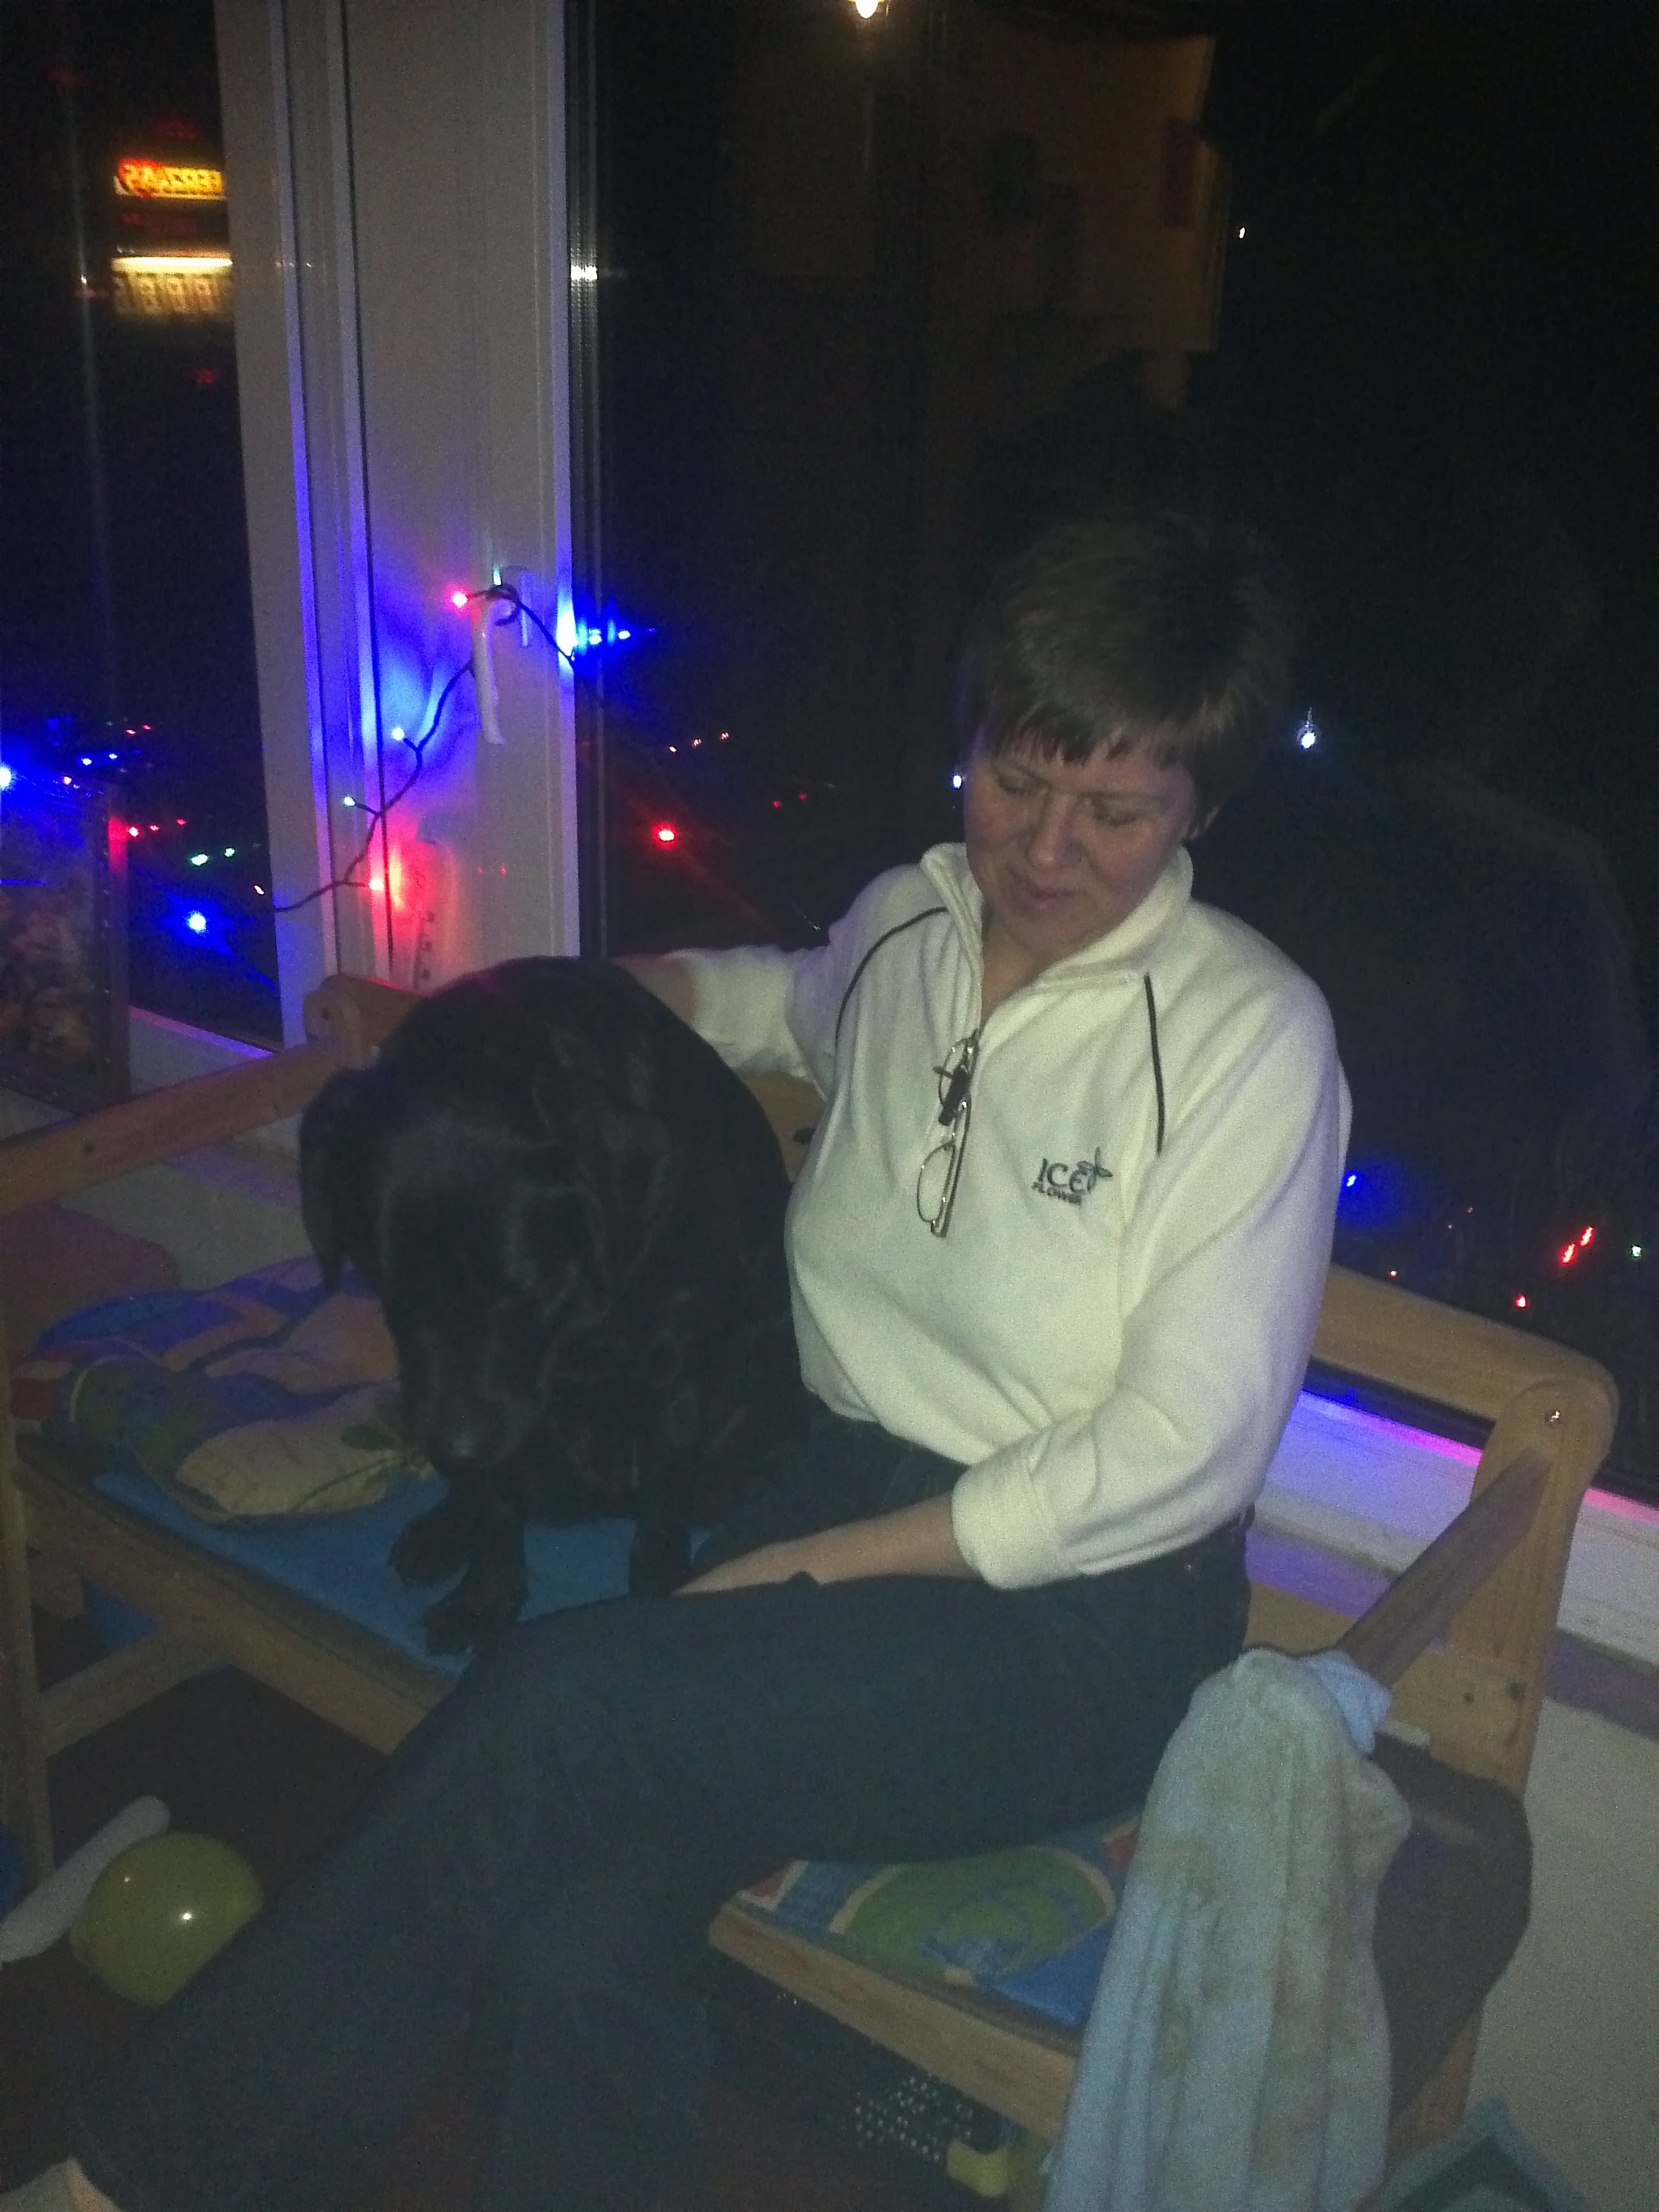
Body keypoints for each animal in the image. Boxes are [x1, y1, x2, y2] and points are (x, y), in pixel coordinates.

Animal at [298, 958, 809, 1652]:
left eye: (525, 1290)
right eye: (390, 1289)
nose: (454, 1450)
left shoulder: (680, 1362)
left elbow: (666, 1486)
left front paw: (657, 1588)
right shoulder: (492, 1408)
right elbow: (496, 1502)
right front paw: (485, 1596)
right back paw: (442, 1529)